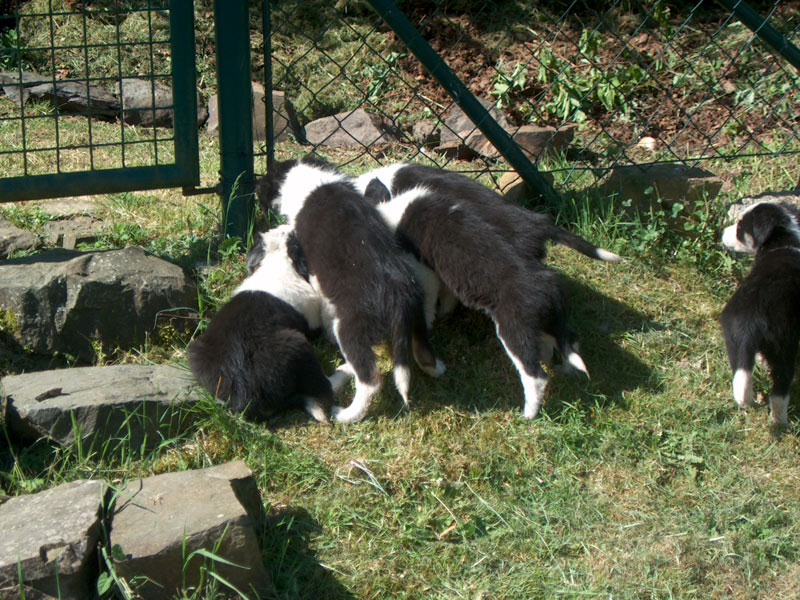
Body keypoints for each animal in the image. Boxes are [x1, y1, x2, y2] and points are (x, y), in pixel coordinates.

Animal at [256, 157, 444, 424]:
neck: (311, 180)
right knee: (423, 350)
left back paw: (346, 414)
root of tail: (398, 295)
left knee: (370, 380)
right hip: (416, 317)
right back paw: (436, 368)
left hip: (351, 331)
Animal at [368, 180, 588, 420]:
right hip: (549, 321)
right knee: (568, 341)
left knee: (535, 376)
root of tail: (548, 287)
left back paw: (528, 413)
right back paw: (564, 368)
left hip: (515, 331)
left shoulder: (425, 273)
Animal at [720, 203, 800, 426]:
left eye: (740, 228)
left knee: (741, 380)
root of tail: (752, 321)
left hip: (734, 340)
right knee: (780, 392)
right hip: (784, 348)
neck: (784, 240)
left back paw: (749, 404)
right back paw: (780, 423)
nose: (722, 233)